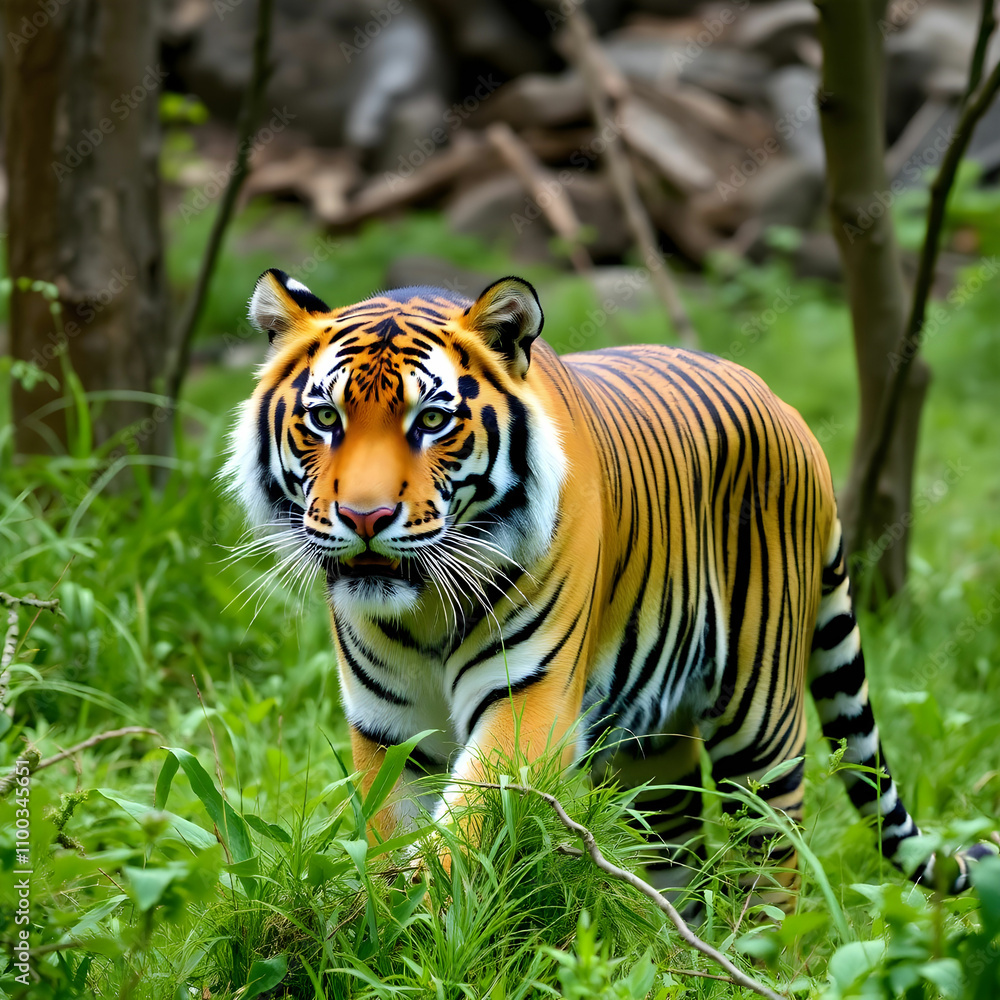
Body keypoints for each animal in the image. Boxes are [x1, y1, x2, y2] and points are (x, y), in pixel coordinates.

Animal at [224, 267, 993, 907]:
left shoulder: (528, 699)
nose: (365, 517)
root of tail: (791, 414)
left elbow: (462, 827)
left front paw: (427, 915)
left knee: (773, 867)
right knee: (681, 858)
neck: (423, 614)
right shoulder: (387, 729)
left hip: (761, 728)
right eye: (326, 418)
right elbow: (391, 835)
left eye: (433, 421)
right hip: (654, 753)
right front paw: (386, 925)